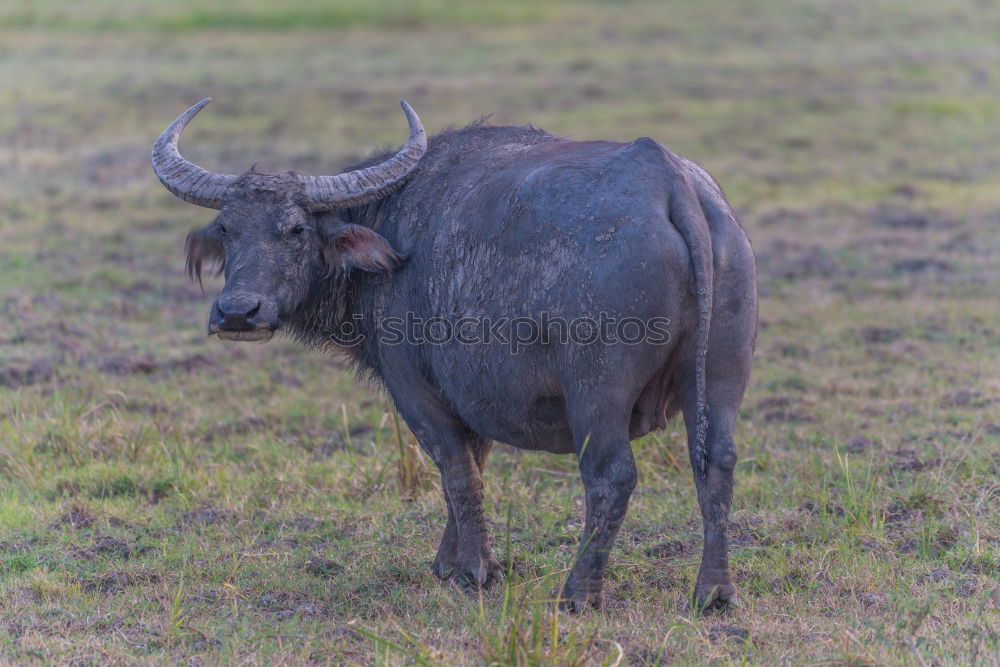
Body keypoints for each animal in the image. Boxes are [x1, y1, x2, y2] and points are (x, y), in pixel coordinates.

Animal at [152, 99, 752, 616]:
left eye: (297, 229)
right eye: (227, 229)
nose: (237, 312)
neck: (391, 231)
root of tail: (671, 182)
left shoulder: (416, 389)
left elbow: (456, 470)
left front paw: (474, 570)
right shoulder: (471, 394)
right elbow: (472, 466)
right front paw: (450, 560)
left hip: (596, 394)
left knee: (611, 476)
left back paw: (578, 593)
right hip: (721, 378)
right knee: (717, 463)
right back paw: (714, 591)